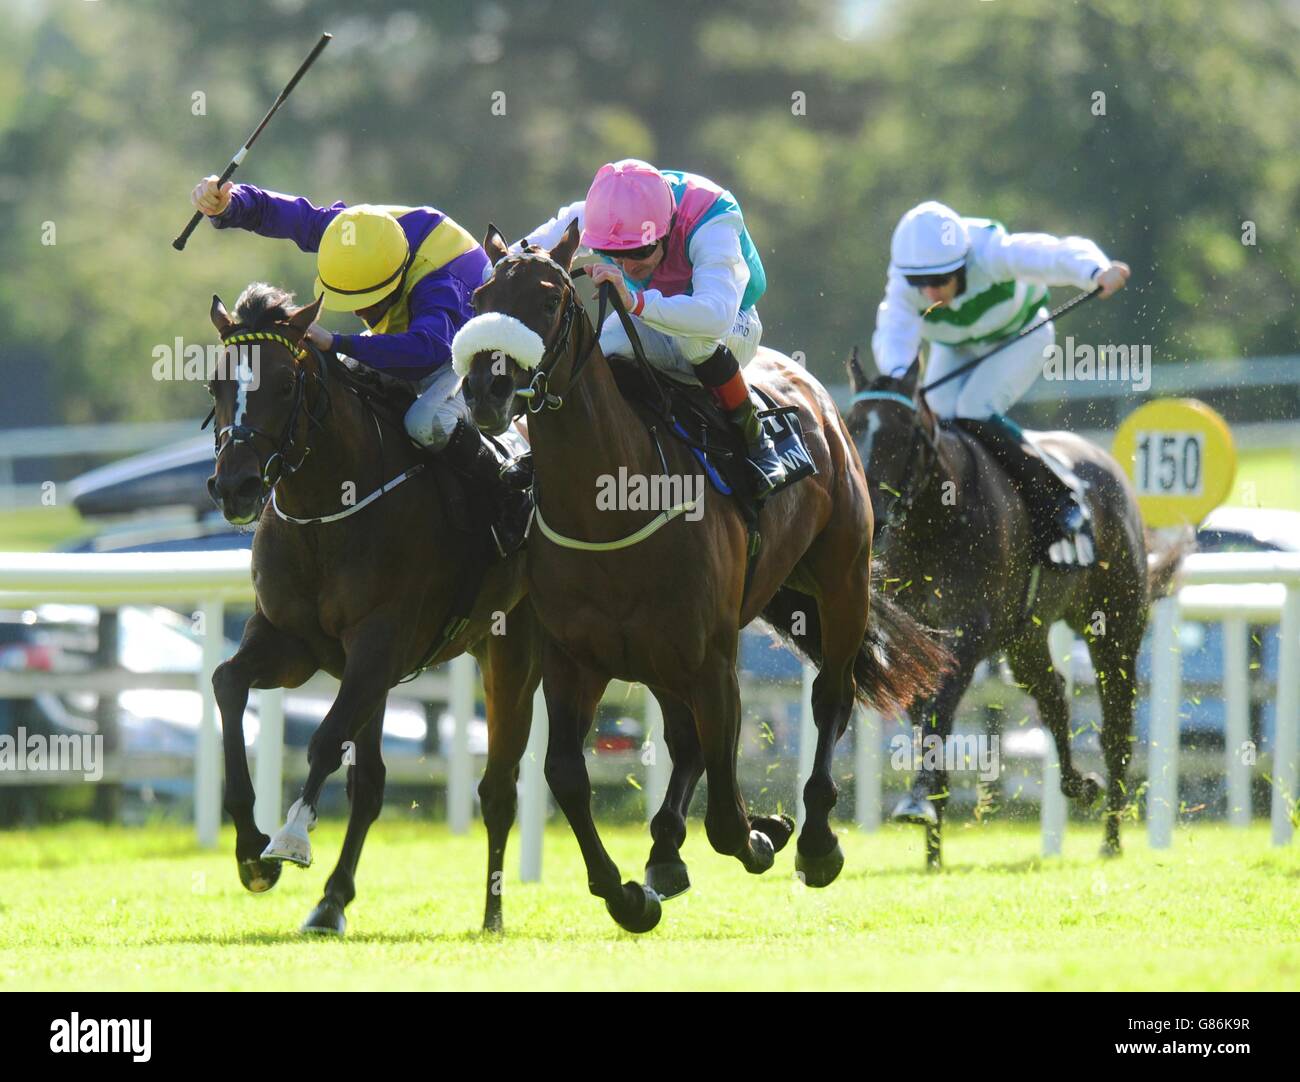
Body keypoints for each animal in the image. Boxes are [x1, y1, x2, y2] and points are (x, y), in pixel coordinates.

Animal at [202, 283, 543, 936]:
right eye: (216, 384)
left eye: (284, 382)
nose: (235, 487)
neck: (326, 510)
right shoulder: (290, 642)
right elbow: (227, 683)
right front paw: (250, 850)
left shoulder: (380, 640)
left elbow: (325, 740)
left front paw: (289, 838)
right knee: (375, 782)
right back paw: (332, 901)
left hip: (512, 648)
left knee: (500, 787)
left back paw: (492, 915)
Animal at [457, 223, 946, 936]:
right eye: (480, 299)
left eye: (549, 300)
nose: (484, 392)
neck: (610, 505)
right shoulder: (574, 659)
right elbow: (567, 774)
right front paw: (627, 895)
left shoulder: (713, 657)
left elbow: (724, 810)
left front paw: (765, 834)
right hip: (664, 657)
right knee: (685, 742)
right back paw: (665, 853)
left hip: (841, 580)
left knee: (830, 695)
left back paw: (815, 839)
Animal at [842, 351, 1180, 868]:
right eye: (851, 426)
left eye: (906, 433)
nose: (872, 515)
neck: (934, 523)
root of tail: (1107, 466)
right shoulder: (916, 638)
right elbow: (924, 712)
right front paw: (932, 841)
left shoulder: (968, 633)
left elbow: (940, 707)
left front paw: (922, 803)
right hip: (1026, 638)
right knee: (1054, 696)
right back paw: (1078, 785)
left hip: (1113, 625)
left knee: (1116, 725)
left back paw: (1111, 838)